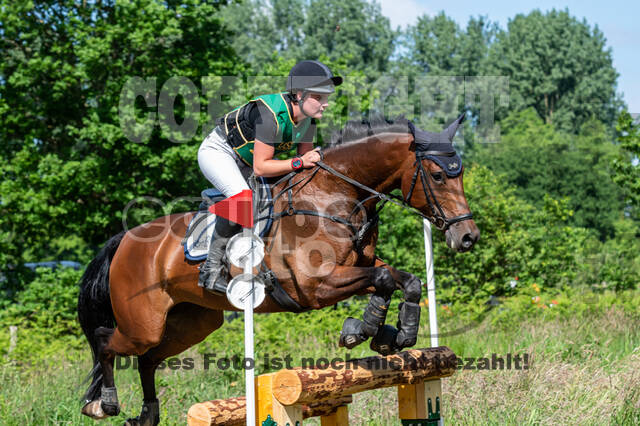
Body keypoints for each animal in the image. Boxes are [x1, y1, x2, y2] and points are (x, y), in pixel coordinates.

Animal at [77, 115, 479, 425]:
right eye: (438, 176)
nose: (468, 237)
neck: (333, 195)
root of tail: (125, 239)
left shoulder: (355, 268)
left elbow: (402, 280)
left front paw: (386, 334)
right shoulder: (316, 285)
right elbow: (384, 280)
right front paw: (368, 329)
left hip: (191, 322)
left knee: (147, 359)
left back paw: (147, 413)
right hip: (142, 322)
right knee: (105, 340)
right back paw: (103, 403)